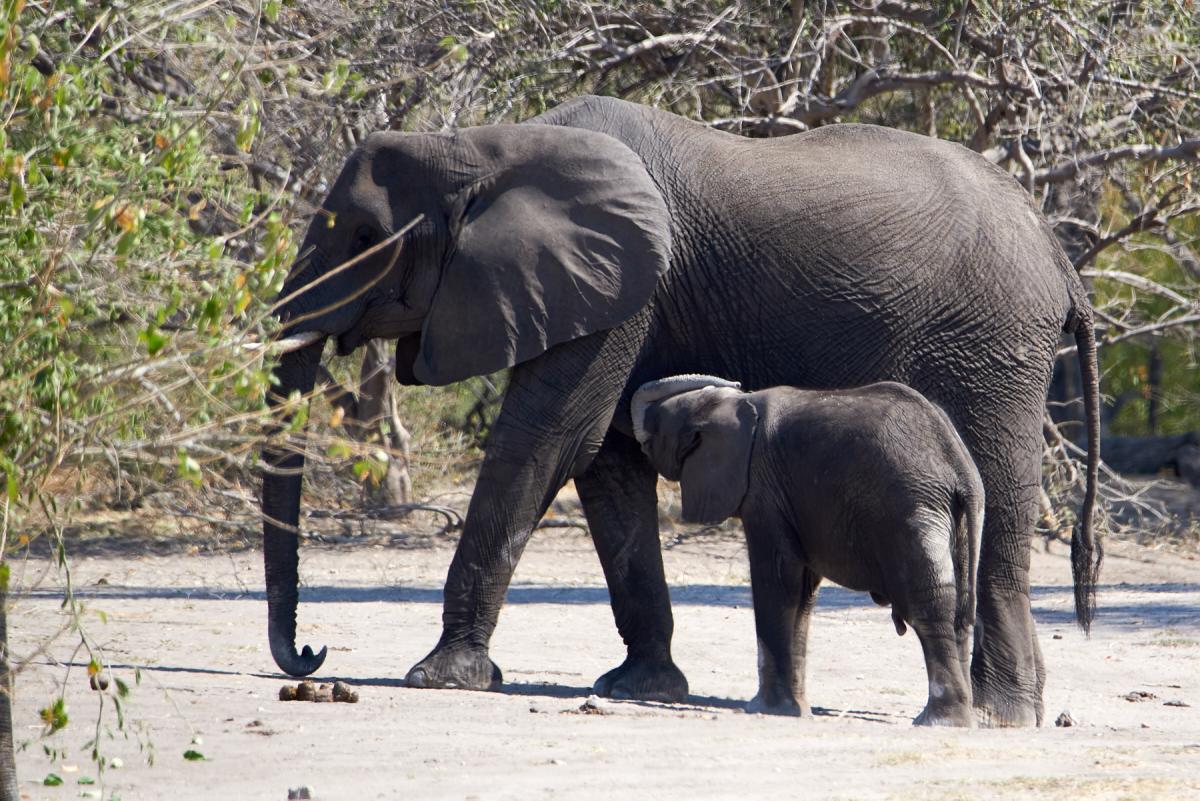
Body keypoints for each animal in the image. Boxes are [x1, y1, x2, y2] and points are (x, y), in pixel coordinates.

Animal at [633, 376, 979, 724]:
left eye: (654, 435)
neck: (733, 405)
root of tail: (960, 469)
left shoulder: (762, 492)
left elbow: (776, 580)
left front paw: (766, 709)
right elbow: (801, 594)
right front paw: (795, 711)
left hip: (911, 510)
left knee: (930, 603)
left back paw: (939, 721)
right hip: (952, 520)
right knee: (959, 610)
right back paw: (961, 718)